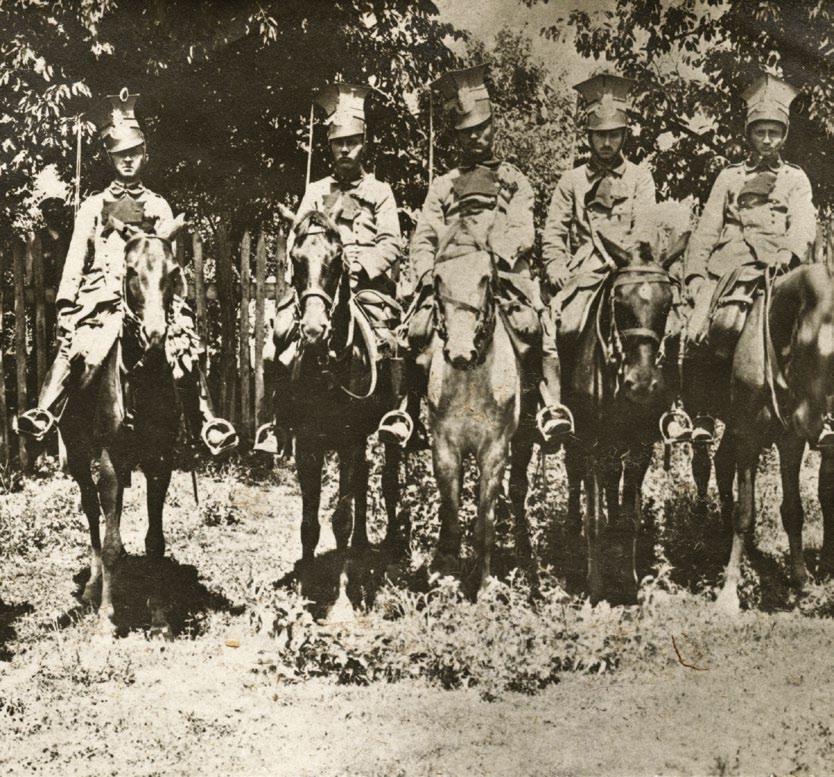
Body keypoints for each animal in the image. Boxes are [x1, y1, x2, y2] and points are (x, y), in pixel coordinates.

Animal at [60, 215, 185, 632]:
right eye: (130, 271)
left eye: (174, 273)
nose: (155, 336)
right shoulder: (110, 461)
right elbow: (112, 542)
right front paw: (107, 617)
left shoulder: (160, 462)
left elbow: (155, 540)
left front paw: (160, 614)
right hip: (79, 456)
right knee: (92, 512)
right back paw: (93, 585)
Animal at [282, 209, 404, 572]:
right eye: (295, 259)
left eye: (337, 260)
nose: (313, 330)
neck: (329, 368)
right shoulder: (308, 443)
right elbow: (309, 522)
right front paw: (308, 572)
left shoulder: (350, 441)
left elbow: (341, 517)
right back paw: (361, 543)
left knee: (388, 481)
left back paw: (389, 543)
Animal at [426, 218, 536, 596]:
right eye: (438, 278)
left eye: (486, 277)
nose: (460, 352)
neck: (470, 377)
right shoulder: (445, 448)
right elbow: (451, 516)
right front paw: (449, 578)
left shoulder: (494, 450)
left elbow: (484, 523)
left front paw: (485, 585)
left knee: (517, 491)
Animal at [560, 233, 676, 604]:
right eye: (620, 303)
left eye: (666, 305)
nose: (641, 384)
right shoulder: (592, 442)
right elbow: (594, 519)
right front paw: (596, 589)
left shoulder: (641, 446)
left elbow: (630, 517)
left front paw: (628, 583)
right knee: (575, 475)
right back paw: (571, 536)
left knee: (613, 482)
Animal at [684, 260, 832, 612]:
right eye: (808, 342)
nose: (817, 425)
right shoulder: (750, 436)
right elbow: (745, 512)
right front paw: (728, 593)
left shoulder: (790, 441)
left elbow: (793, 511)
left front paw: (802, 580)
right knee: (703, 464)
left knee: (722, 464)